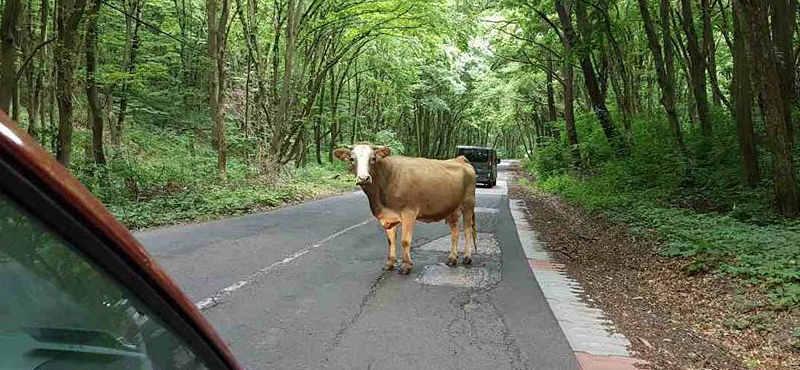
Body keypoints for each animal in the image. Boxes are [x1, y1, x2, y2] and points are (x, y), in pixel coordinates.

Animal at [332, 144, 476, 274]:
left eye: (373, 158)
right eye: (352, 159)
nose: (363, 178)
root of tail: (459, 159)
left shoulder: (409, 212)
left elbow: (405, 241)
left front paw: (406, 266)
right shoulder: (388, 216)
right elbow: (390, 241)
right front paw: (389, 263)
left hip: (468, 204)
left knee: (467, 230)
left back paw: (467, 257)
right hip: (452, 209)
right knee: (455, 232)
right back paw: (452, 258)